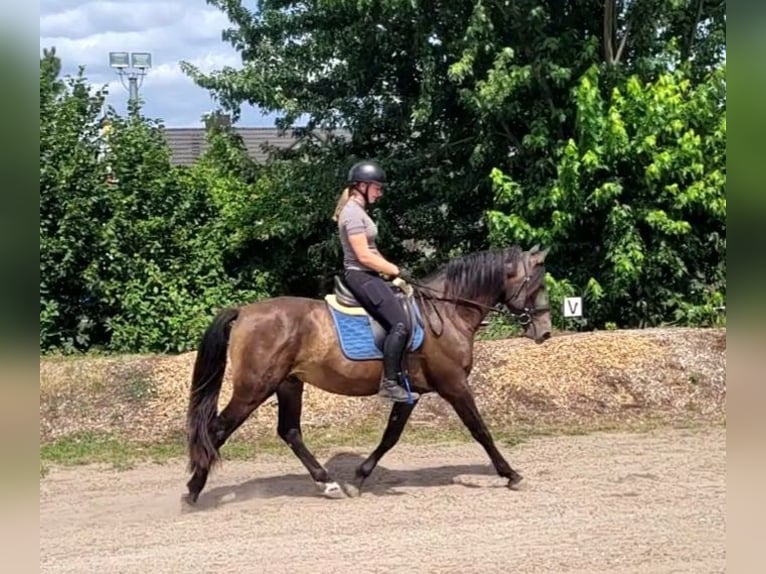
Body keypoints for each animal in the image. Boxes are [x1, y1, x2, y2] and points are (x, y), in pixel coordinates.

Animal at [184, 244, 552, 504]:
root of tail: (245, 312)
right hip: (254, 388)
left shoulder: (410, 392)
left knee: (289, 432)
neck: (447, 312)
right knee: (216, 430)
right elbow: (480, 430)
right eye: (537, 283)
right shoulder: (455, 385)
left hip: (288, 384)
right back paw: (192, 490)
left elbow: (390, 436)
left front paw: (359, 478)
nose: (545, 331)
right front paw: (511, 474)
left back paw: (328, 483)